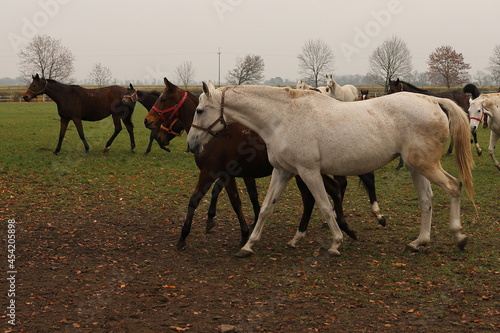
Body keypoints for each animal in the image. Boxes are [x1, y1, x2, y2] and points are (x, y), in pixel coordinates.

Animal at [145, 78, 386, 249]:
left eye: (163, 99)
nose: (148, 122)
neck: (216, 137)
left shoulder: (212, 172)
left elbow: (200, 200)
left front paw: (184, 236)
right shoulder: (231, 175)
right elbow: (242, 200)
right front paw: (245, 231)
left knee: (333, 190)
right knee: (330, 191)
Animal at [188, 83, 472, 256]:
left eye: (199, 110)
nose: (191, 144)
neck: (282, 118)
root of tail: (432, 100)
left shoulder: (309, 172)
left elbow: (324, 205)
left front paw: (336, 243)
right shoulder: (283, 171)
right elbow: (267, 208)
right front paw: (248, 245)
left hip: (425, 165)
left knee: (453, 187)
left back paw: (459, 236)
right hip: (416, 167)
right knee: (427, 199)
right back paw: (419, 241)